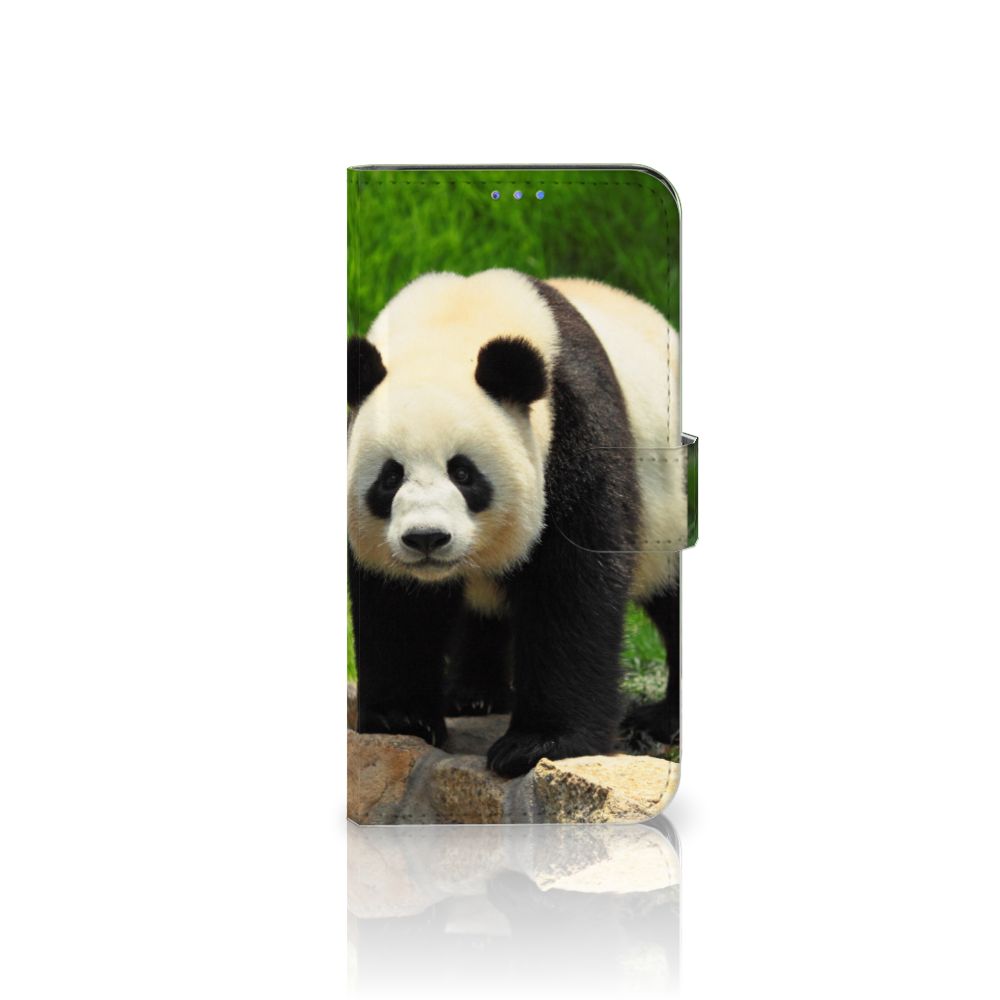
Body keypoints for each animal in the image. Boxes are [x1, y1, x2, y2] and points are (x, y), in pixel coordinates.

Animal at [347, 269, 686, 778]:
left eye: (463, 473)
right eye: (390, 477)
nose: (426, 539)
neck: (451, 325)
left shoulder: (574, 426)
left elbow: (571, 584)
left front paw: (539, 743)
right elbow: (395, 602)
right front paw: (400, 719)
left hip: (668, 498)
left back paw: (663, 720)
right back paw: (473, 695)